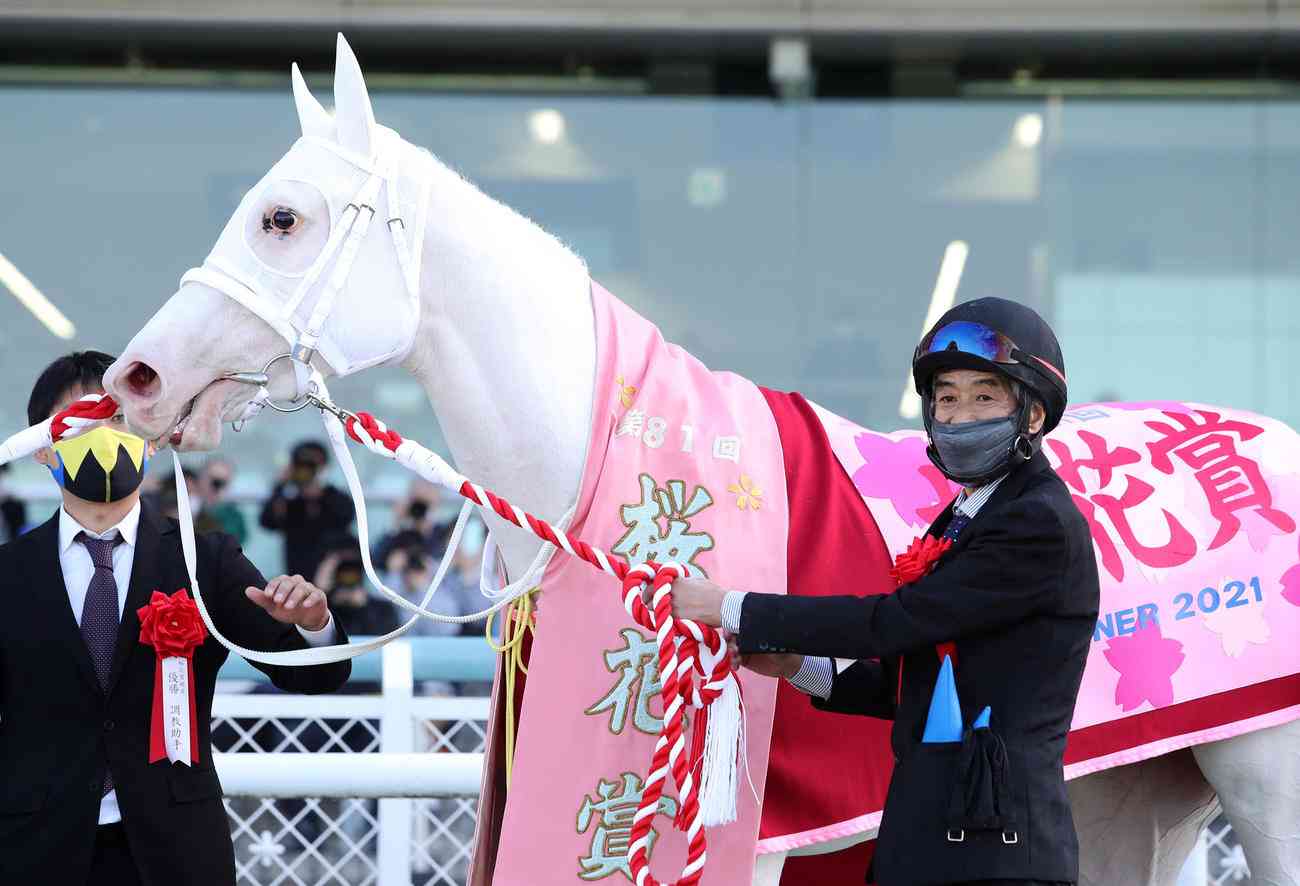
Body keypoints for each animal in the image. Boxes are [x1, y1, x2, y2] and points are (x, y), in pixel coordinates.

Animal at [102, 35, 1300, 885]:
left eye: (281, 218)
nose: (139, 377)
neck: (595, 492)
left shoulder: (753, 840)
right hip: (1138, 795)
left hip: (1267, 783)